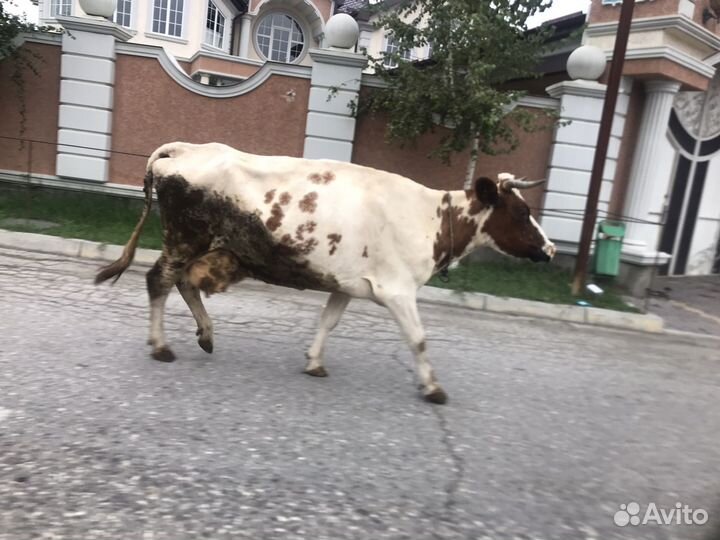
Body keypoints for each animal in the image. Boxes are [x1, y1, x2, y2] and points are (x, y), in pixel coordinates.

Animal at [95, 142, 555, 404]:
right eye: (521, 213)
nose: (550, 249)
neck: (433, 218)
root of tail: (187, 147)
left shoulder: (347, 283)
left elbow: (327, 321)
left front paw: (314, 361)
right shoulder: (398, 289)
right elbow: (419, 339)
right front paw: (432, 387)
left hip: (204, 245)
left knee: (184, 283)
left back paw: (206, 335)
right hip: (185, 238)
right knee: (159, 280)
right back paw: (160, 345)